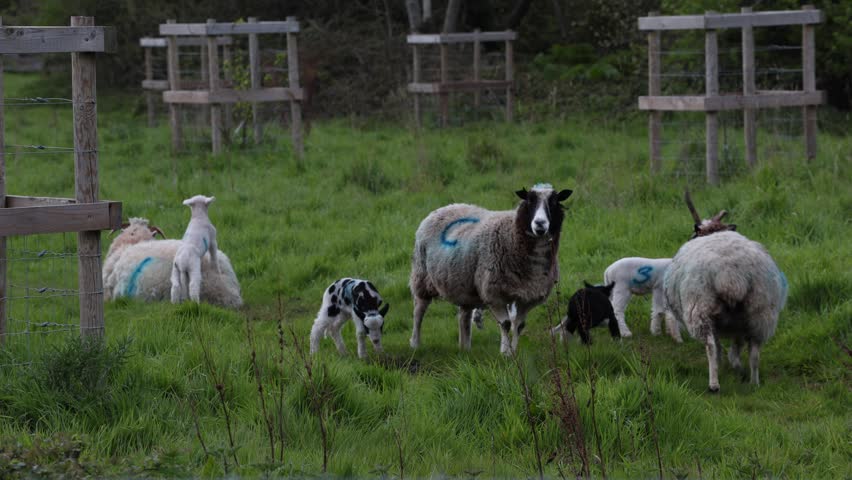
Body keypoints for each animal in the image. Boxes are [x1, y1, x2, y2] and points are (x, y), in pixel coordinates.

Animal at [409, 183, 572, 355]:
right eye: (529, 201)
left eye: (554, 202)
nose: (540, 223)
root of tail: (445, 207)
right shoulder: (493, 293)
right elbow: (506, 324)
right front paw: (506, 354)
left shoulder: (528, 296)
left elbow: (518, 326)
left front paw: (513, 352)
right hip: (422, 275)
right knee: (419, 310)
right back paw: (415, 343)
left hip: (463, 284)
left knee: (463, 316)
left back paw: (465, 347)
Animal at [663, 191, 787, 393]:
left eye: (693, 234)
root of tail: (731, 275)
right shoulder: (739, 323)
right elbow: (737, 346)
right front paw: (736, 365)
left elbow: (720, 346)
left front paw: (726, 364)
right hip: (760, 311)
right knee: (755, 351)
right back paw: (753, 381)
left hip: (700, 309)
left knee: (711, 346)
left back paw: (714, 384)